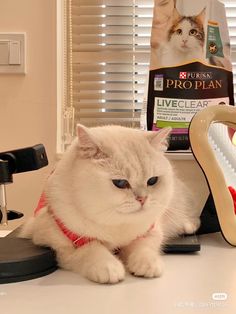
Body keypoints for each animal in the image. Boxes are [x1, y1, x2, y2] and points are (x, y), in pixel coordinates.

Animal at [21, 125, 200, 284]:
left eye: (152, 181)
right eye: (120, 183)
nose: (142, 199)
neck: (117, 224)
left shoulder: (151, 231)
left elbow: (144, 247)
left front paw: (147, 265)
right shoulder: (60, 241)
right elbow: (91, 249)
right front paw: (109, 267)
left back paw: (187, 226)